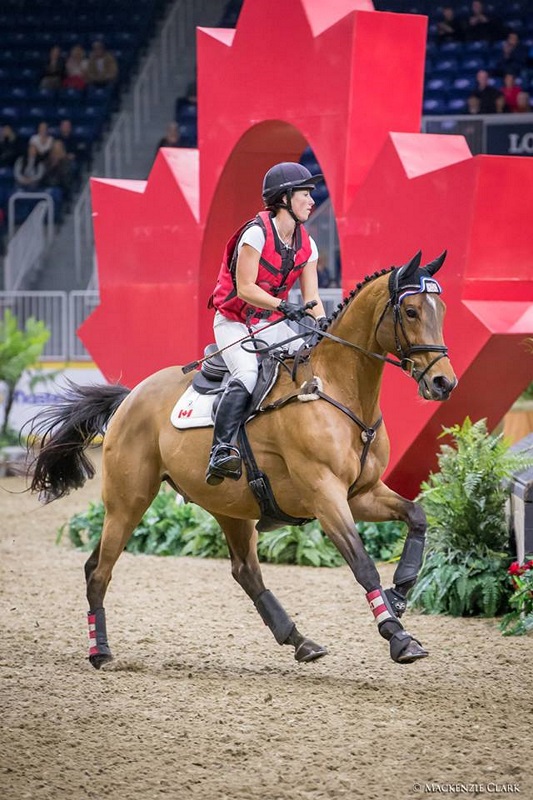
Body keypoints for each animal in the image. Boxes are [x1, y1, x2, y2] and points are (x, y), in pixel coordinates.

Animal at [28, 251, 457, 670]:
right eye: (412, 311)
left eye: (442, 309)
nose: (444, 383)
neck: (337, 390)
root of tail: (129, 397)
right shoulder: (325, 494)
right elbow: (362, 563)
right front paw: (398, 635)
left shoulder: (361, 493)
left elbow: (417, 516)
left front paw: (400, 591)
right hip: (128, 500)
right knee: (100, 570)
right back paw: (100, 651)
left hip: (229, 506)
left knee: (244, 571)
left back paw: (300, 641)